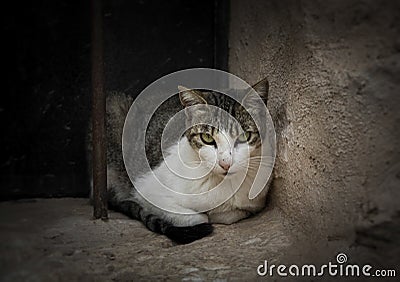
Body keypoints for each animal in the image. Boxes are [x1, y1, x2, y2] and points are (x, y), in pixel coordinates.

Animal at [89, 78, 272, 243]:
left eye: (244, 136)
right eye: (207, 138)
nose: (225, 162)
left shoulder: (255, 201)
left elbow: (233, 213)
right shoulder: (145, 191)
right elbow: (196, 217)